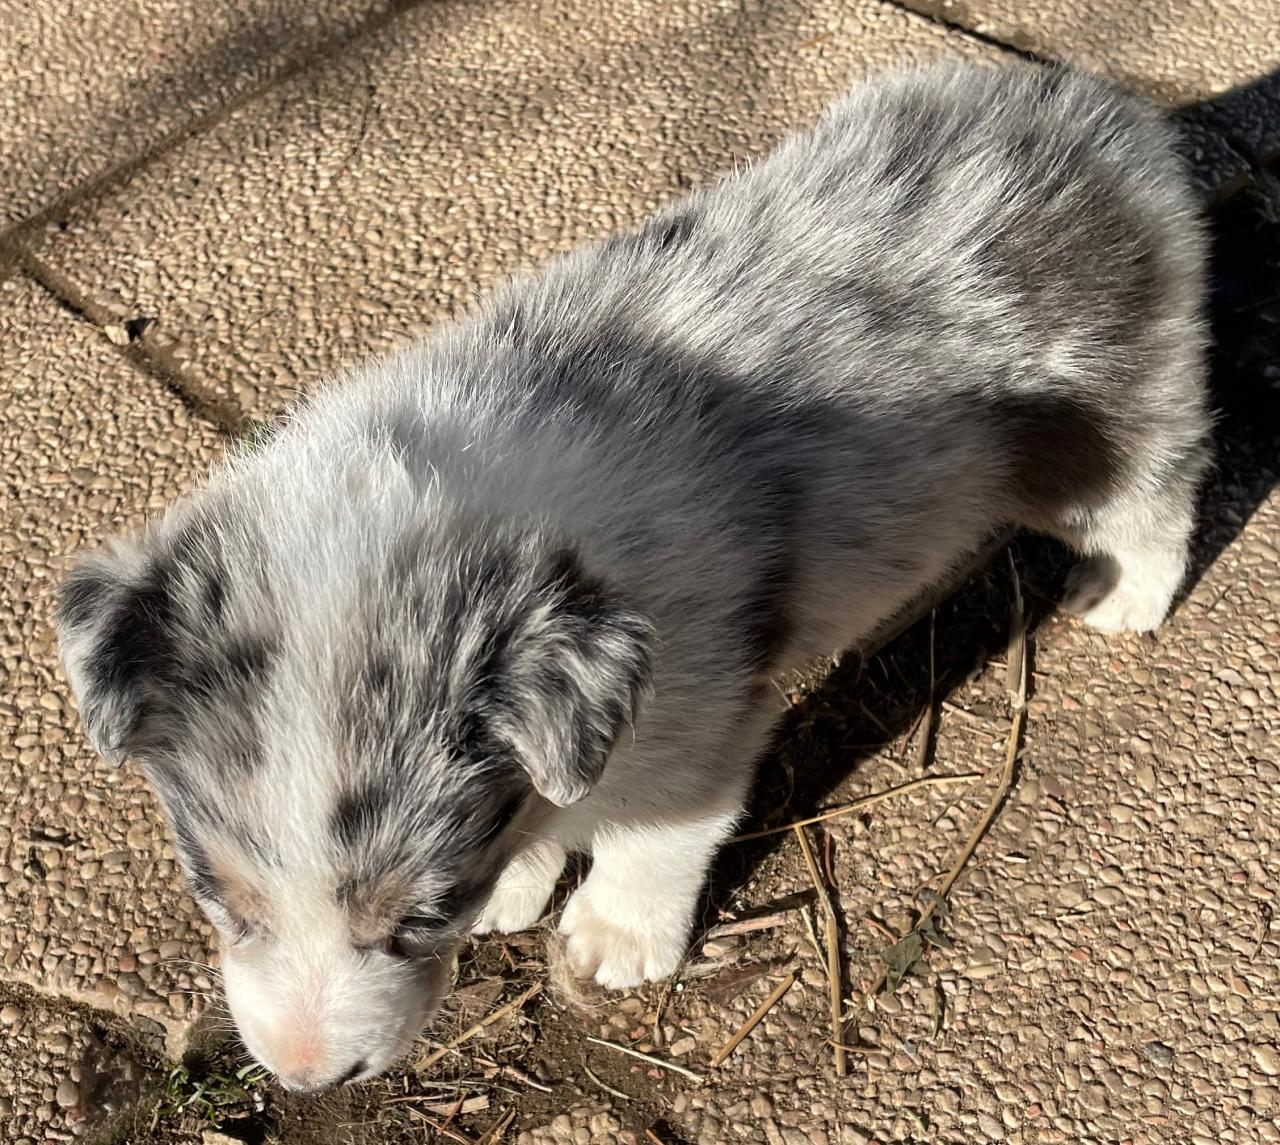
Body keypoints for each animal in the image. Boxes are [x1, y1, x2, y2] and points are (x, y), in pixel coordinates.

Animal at [52, 60, 1208, 1095]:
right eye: (222, 900)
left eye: (418, 914)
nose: (306, 1079)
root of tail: (1106, 116)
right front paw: (520, 888)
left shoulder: (695, 712)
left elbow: (654, 836)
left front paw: (610, 936)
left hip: (1106, 425)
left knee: (1162, 493)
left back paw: (1121, 599)